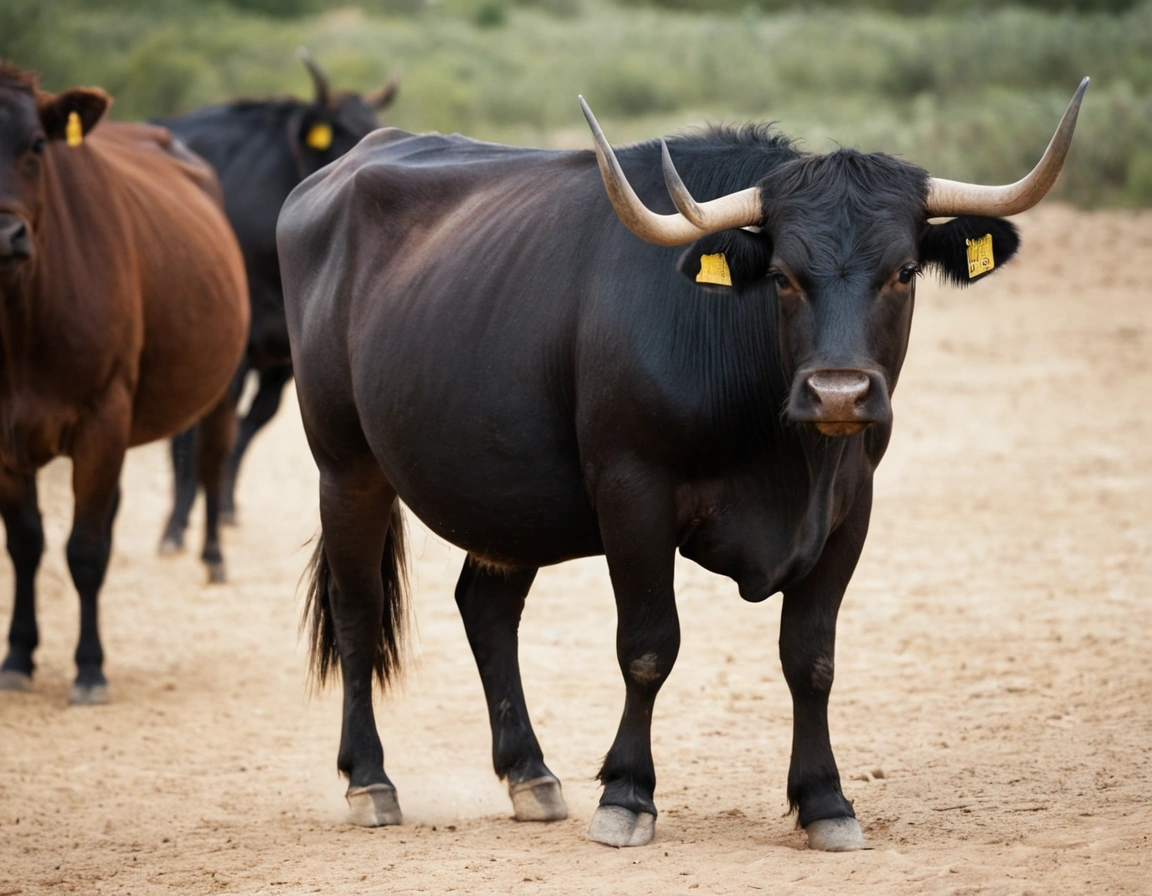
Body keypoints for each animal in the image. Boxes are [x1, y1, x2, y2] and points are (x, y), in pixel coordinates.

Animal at [0, 64, 249, 704]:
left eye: (37, 146)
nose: (3, 234)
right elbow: (26, 544)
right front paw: (18, 655)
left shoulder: (101, 415)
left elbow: (84, 549)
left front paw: (90, 667)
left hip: (218, 384)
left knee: (212, 457)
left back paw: (213, 557)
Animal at [153, 52, 396, 555]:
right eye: (338, 135)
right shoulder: (233, 350)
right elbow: (204, 437)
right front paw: (178, 526)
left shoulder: (283, 360)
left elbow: (246, 430)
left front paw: (224, 506)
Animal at [274, 78, 1082, 843]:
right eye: (784, 275)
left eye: (905, 270)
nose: (839, 393)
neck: (786, 460)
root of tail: (336, 174)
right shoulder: (634, 494)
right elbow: (648, 645)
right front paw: (628, 795)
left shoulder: (852, 509)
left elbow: (811, 656)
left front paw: (826, 801)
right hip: (345, 466)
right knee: (357, 609)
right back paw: (370, 781)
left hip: (505, 496)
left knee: (488, 609)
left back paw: (530, 774)